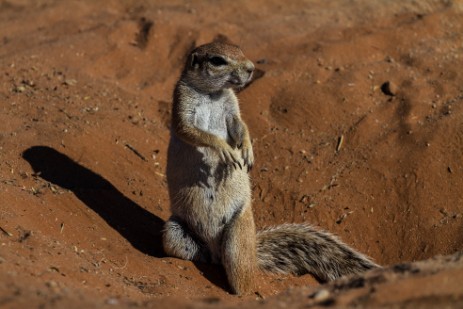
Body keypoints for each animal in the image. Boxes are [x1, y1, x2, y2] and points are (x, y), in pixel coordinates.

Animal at [161, 40, 378, 294]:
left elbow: (240, 125)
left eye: (239, 49)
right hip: (173, 232)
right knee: (200, 255)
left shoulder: (232, 109)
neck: (212, 94)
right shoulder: (181, 101)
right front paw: (224, 148)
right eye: (217, 60)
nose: (251, 68)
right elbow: (189, 129)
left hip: (237, 238)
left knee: (242, 279)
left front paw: (247, 150)